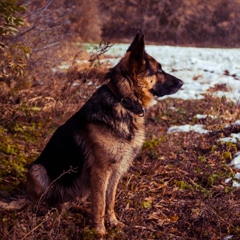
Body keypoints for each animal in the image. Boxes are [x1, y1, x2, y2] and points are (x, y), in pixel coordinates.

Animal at [25, 32, 183, 235]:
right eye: (159, 70)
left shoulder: (116, 171)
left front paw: (113, 222)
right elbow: (100, 203)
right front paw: (99, 231)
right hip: (37, 170)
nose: (182, 83)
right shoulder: (101, 171)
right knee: (38, 201)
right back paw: (45, 210)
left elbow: (110, 200)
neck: (123, 102)